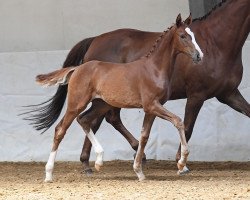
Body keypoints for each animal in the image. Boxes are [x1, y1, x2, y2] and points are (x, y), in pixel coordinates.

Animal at [36, 14, 202, 182]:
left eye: (193, 35)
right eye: (182, 36)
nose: (198, 56)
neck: (154, 69)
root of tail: (77, 69)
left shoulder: (151, 109)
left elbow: (144, 136)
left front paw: (139, 171)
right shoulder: (152, 105)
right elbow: (178, 121)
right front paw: (182, 163)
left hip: (101, 104)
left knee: (84, 120)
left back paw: (99, 161)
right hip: (76, 104)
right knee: (60, 129)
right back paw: (49, 174)